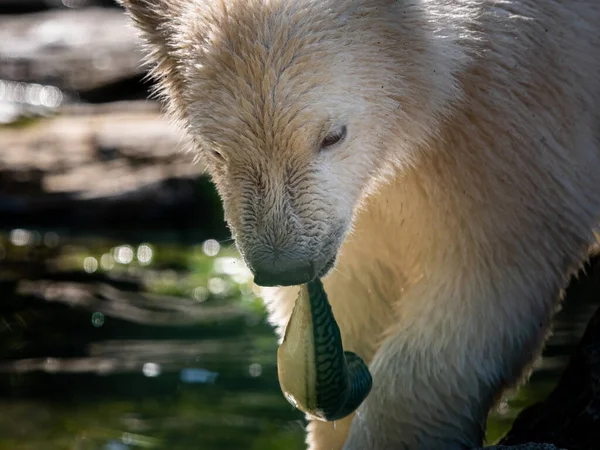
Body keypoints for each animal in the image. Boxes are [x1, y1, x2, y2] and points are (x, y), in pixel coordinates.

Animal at [118, 0, 600, 448]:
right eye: (218, 150)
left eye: (333, 135)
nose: (283, 266)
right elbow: (357, 285)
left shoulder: (516, 116)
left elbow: (483, 283)